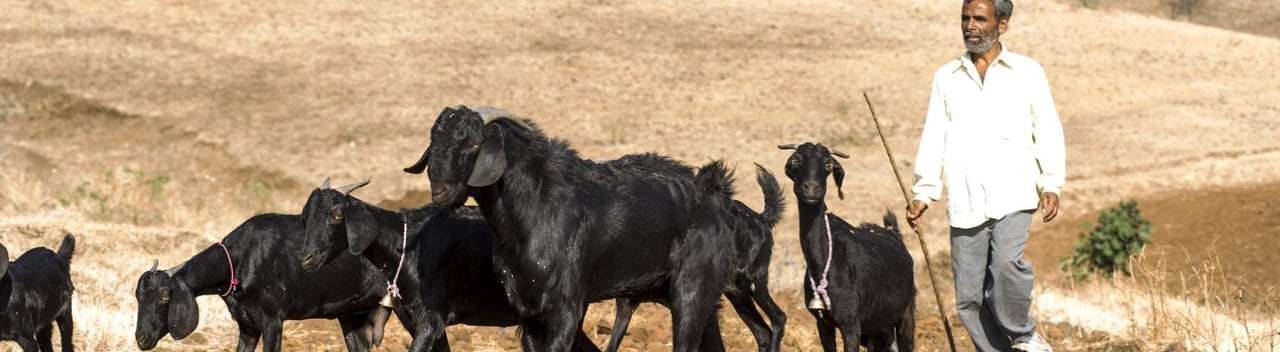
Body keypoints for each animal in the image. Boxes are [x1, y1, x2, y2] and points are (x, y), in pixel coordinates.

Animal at [136, 215, 384, 352]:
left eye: (164, 296)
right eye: (138, 297)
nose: (141, 338)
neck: (240, 262)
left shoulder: (273, 320)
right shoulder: (248, 325)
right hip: (349, 313)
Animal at [296, 179, 601, 352]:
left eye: (337, 215)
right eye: (305, 216)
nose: (306, 258)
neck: (406, 246)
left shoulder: (430, 321)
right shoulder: (419, 322)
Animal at [404, 105, 737, 352]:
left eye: (474, 143)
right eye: (434, 141)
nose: (440, 190)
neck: (533, 212)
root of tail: (712, 194)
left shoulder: (565, 309)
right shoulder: (528, 314)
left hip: (691, 286)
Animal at [601, 165, 788, 352]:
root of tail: (760, 218)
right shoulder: (627, 306)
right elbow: (611, 345)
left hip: (753, 284)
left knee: (779, 318)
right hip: (738, 294)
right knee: (762, 332)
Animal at [773, 143, 916, 352]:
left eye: (828, 164)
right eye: (795, 161)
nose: (811, 188)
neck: (825, 261)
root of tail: (893, 232)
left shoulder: (851, 324)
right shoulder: (823, 323)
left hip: (906, 314)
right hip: (879, 324)